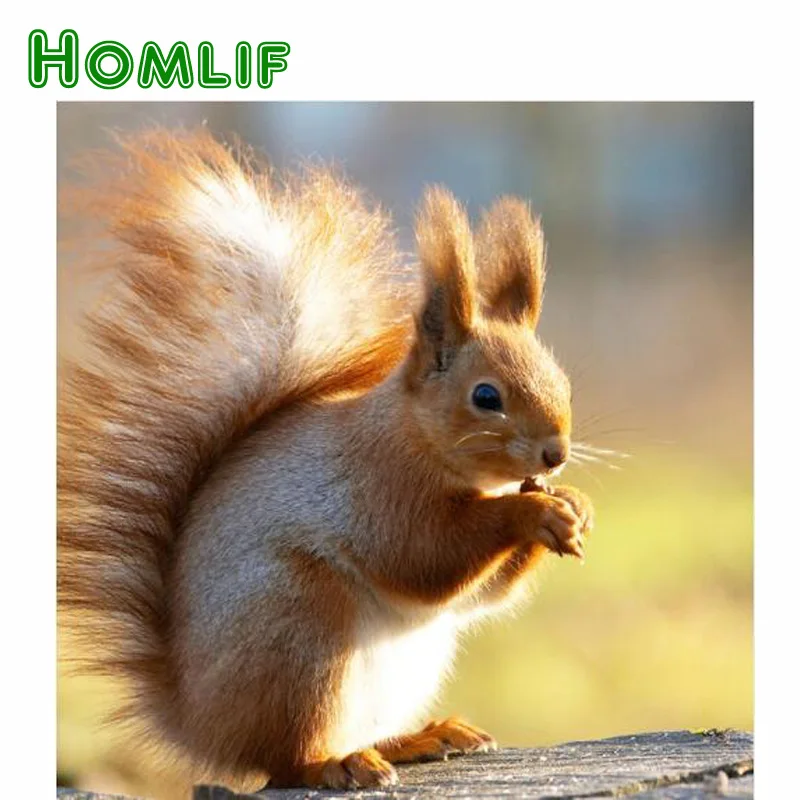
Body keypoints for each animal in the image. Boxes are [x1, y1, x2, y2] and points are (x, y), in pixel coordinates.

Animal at [58, 128, 594, 794]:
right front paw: (533, 512)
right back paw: (336, 763)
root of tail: (200, 722)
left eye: (561, 380)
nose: (556, 453)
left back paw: (420, 738)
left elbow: (481, 594)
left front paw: (573, 504)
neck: (412, 435)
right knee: (286, 759)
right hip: (301, 625)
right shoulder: (377, 487)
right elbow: (426, 556)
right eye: (486, 397)